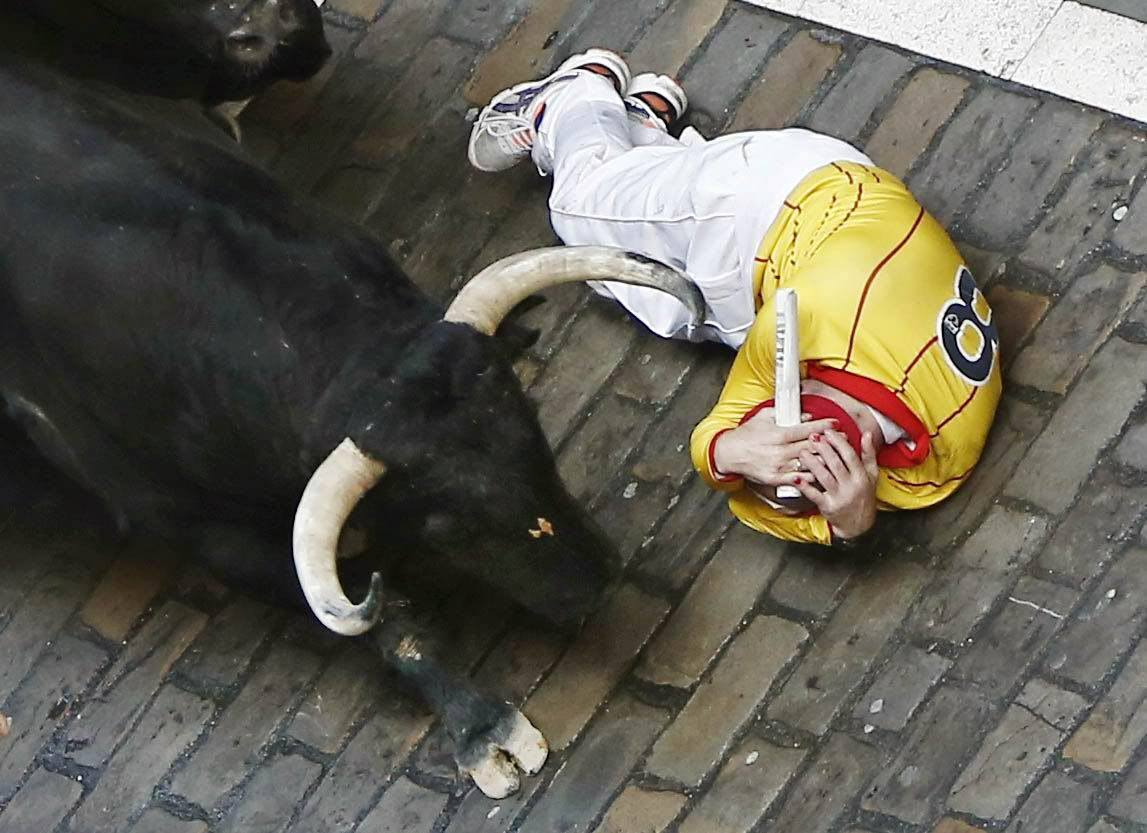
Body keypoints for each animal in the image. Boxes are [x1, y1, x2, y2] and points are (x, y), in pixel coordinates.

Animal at [0, 63, 706, 793]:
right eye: (441, 524)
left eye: (532, 428)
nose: (596, 582)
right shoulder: (203, 530)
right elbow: (384, 620)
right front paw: (486, 730)